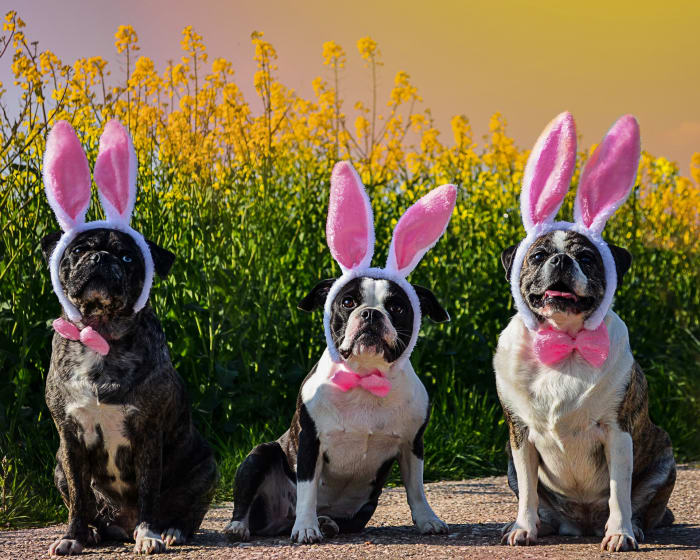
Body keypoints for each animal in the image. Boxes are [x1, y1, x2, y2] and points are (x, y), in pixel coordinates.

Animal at [41, 120, 216, 552]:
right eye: (77, 250)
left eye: (126, 256)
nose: (100, 257)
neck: (102, 335)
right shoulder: (68, 438)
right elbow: (78, 494)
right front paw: (71, 537)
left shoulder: (147, 433)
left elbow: (150, 489)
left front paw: (149, 534)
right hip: (56, 466)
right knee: (87, 504)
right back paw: (91, 532)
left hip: (206, 465)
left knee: (184, 509)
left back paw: (169, 531)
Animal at [221, 161, 456, 544]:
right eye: (348, 302)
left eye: (398, 307)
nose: (371, 313)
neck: (364, 376)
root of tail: (274, 522)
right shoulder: (309, 443)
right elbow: (307, 489)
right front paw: (306, 528)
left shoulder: (412, 445)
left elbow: (417, 489)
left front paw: (427, 520)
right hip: (260, 455)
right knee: (249, 495)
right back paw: (243, 526)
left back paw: (327, 522)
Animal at [494, 112, 676, 552]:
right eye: (538, 256)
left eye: (588, 259)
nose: (561, 260)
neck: (565, 340)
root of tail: (581, 523)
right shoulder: (520, 438)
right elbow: (527, 492)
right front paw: (523, 527)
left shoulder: (618, 434)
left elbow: (619, 491)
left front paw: (621, 533)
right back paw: (540, 524)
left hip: (665, 458)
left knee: (640, 504)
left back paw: (633, 527)